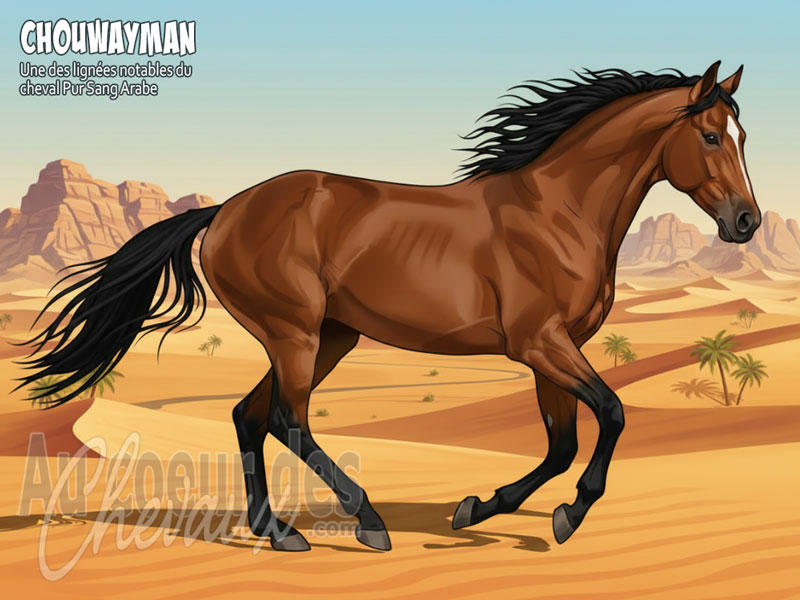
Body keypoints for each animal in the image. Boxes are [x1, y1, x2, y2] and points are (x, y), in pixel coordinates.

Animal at [17, 61, 760, 552]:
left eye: (744, 137)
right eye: (711, 137)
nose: (746, 222)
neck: (557, 211)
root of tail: (226, 210)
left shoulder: (551, 349)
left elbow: (562, 443)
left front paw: (478, 509)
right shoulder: (540, 343)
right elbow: (609, 413)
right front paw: (568, 515)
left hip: (329, 336)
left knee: (248, 415)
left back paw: (277, 531)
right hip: (294, 332)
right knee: (286, 418)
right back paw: (366, 521)